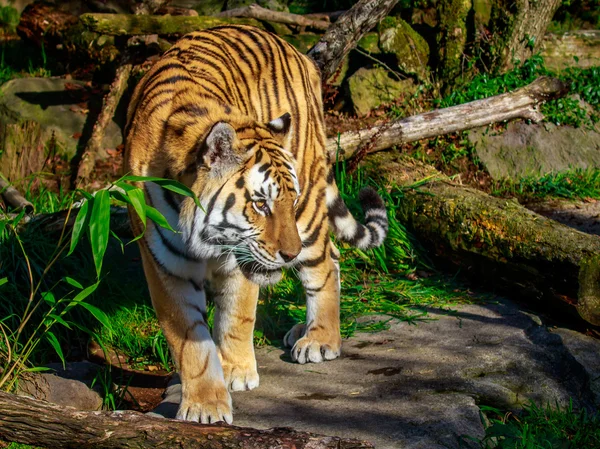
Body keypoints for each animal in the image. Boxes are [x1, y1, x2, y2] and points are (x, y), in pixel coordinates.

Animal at [126, 24, 390, 424]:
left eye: (288, 200)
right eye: (260, 203)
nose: (289, 254)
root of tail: (294, 50)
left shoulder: (240, 258)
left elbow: (237, 315)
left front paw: (235, 371)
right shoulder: (165, 264)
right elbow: (188, 338)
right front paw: (205, 404)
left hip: (309, 207)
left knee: (326, 261)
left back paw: (320, 339)